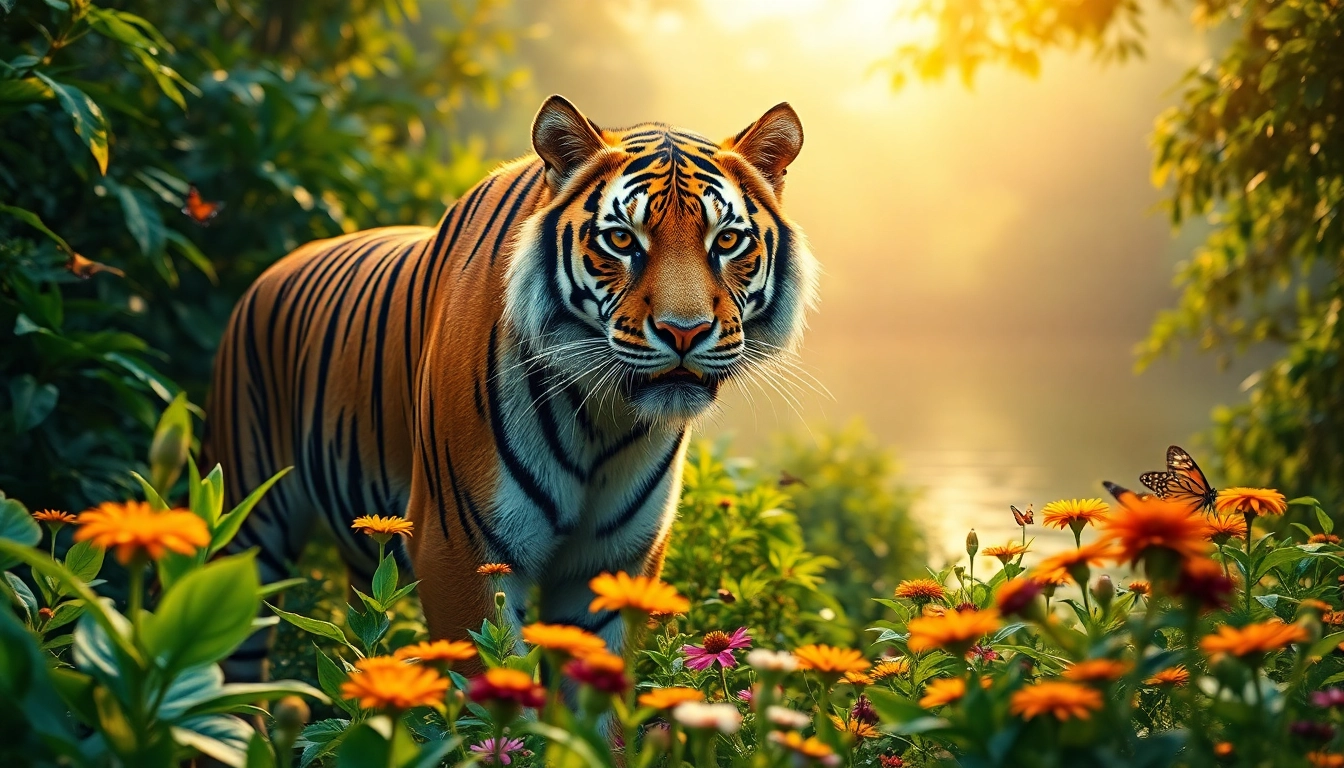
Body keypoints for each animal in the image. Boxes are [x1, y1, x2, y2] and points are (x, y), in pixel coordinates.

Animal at [204, 95, 818, 681]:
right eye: (622, 239)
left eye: (727, 240)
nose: (684, 331)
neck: (605, 419)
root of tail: (268, 273)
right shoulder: (457, 549)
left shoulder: (617, 563)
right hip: (247, 525)